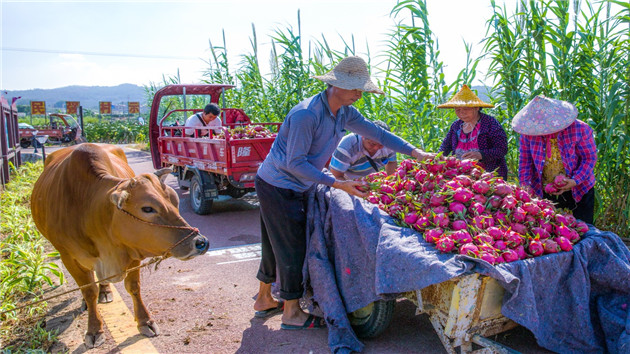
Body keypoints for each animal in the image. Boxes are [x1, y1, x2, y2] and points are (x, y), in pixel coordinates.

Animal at [30, 144, 209, 348]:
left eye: (174, 201)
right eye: (147, 208)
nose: (200, 242)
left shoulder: (131, 251)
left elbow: (133, 286)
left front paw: (145, 321)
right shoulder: (68, 256)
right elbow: (88, 291)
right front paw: (94, 330)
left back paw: (106, 290)